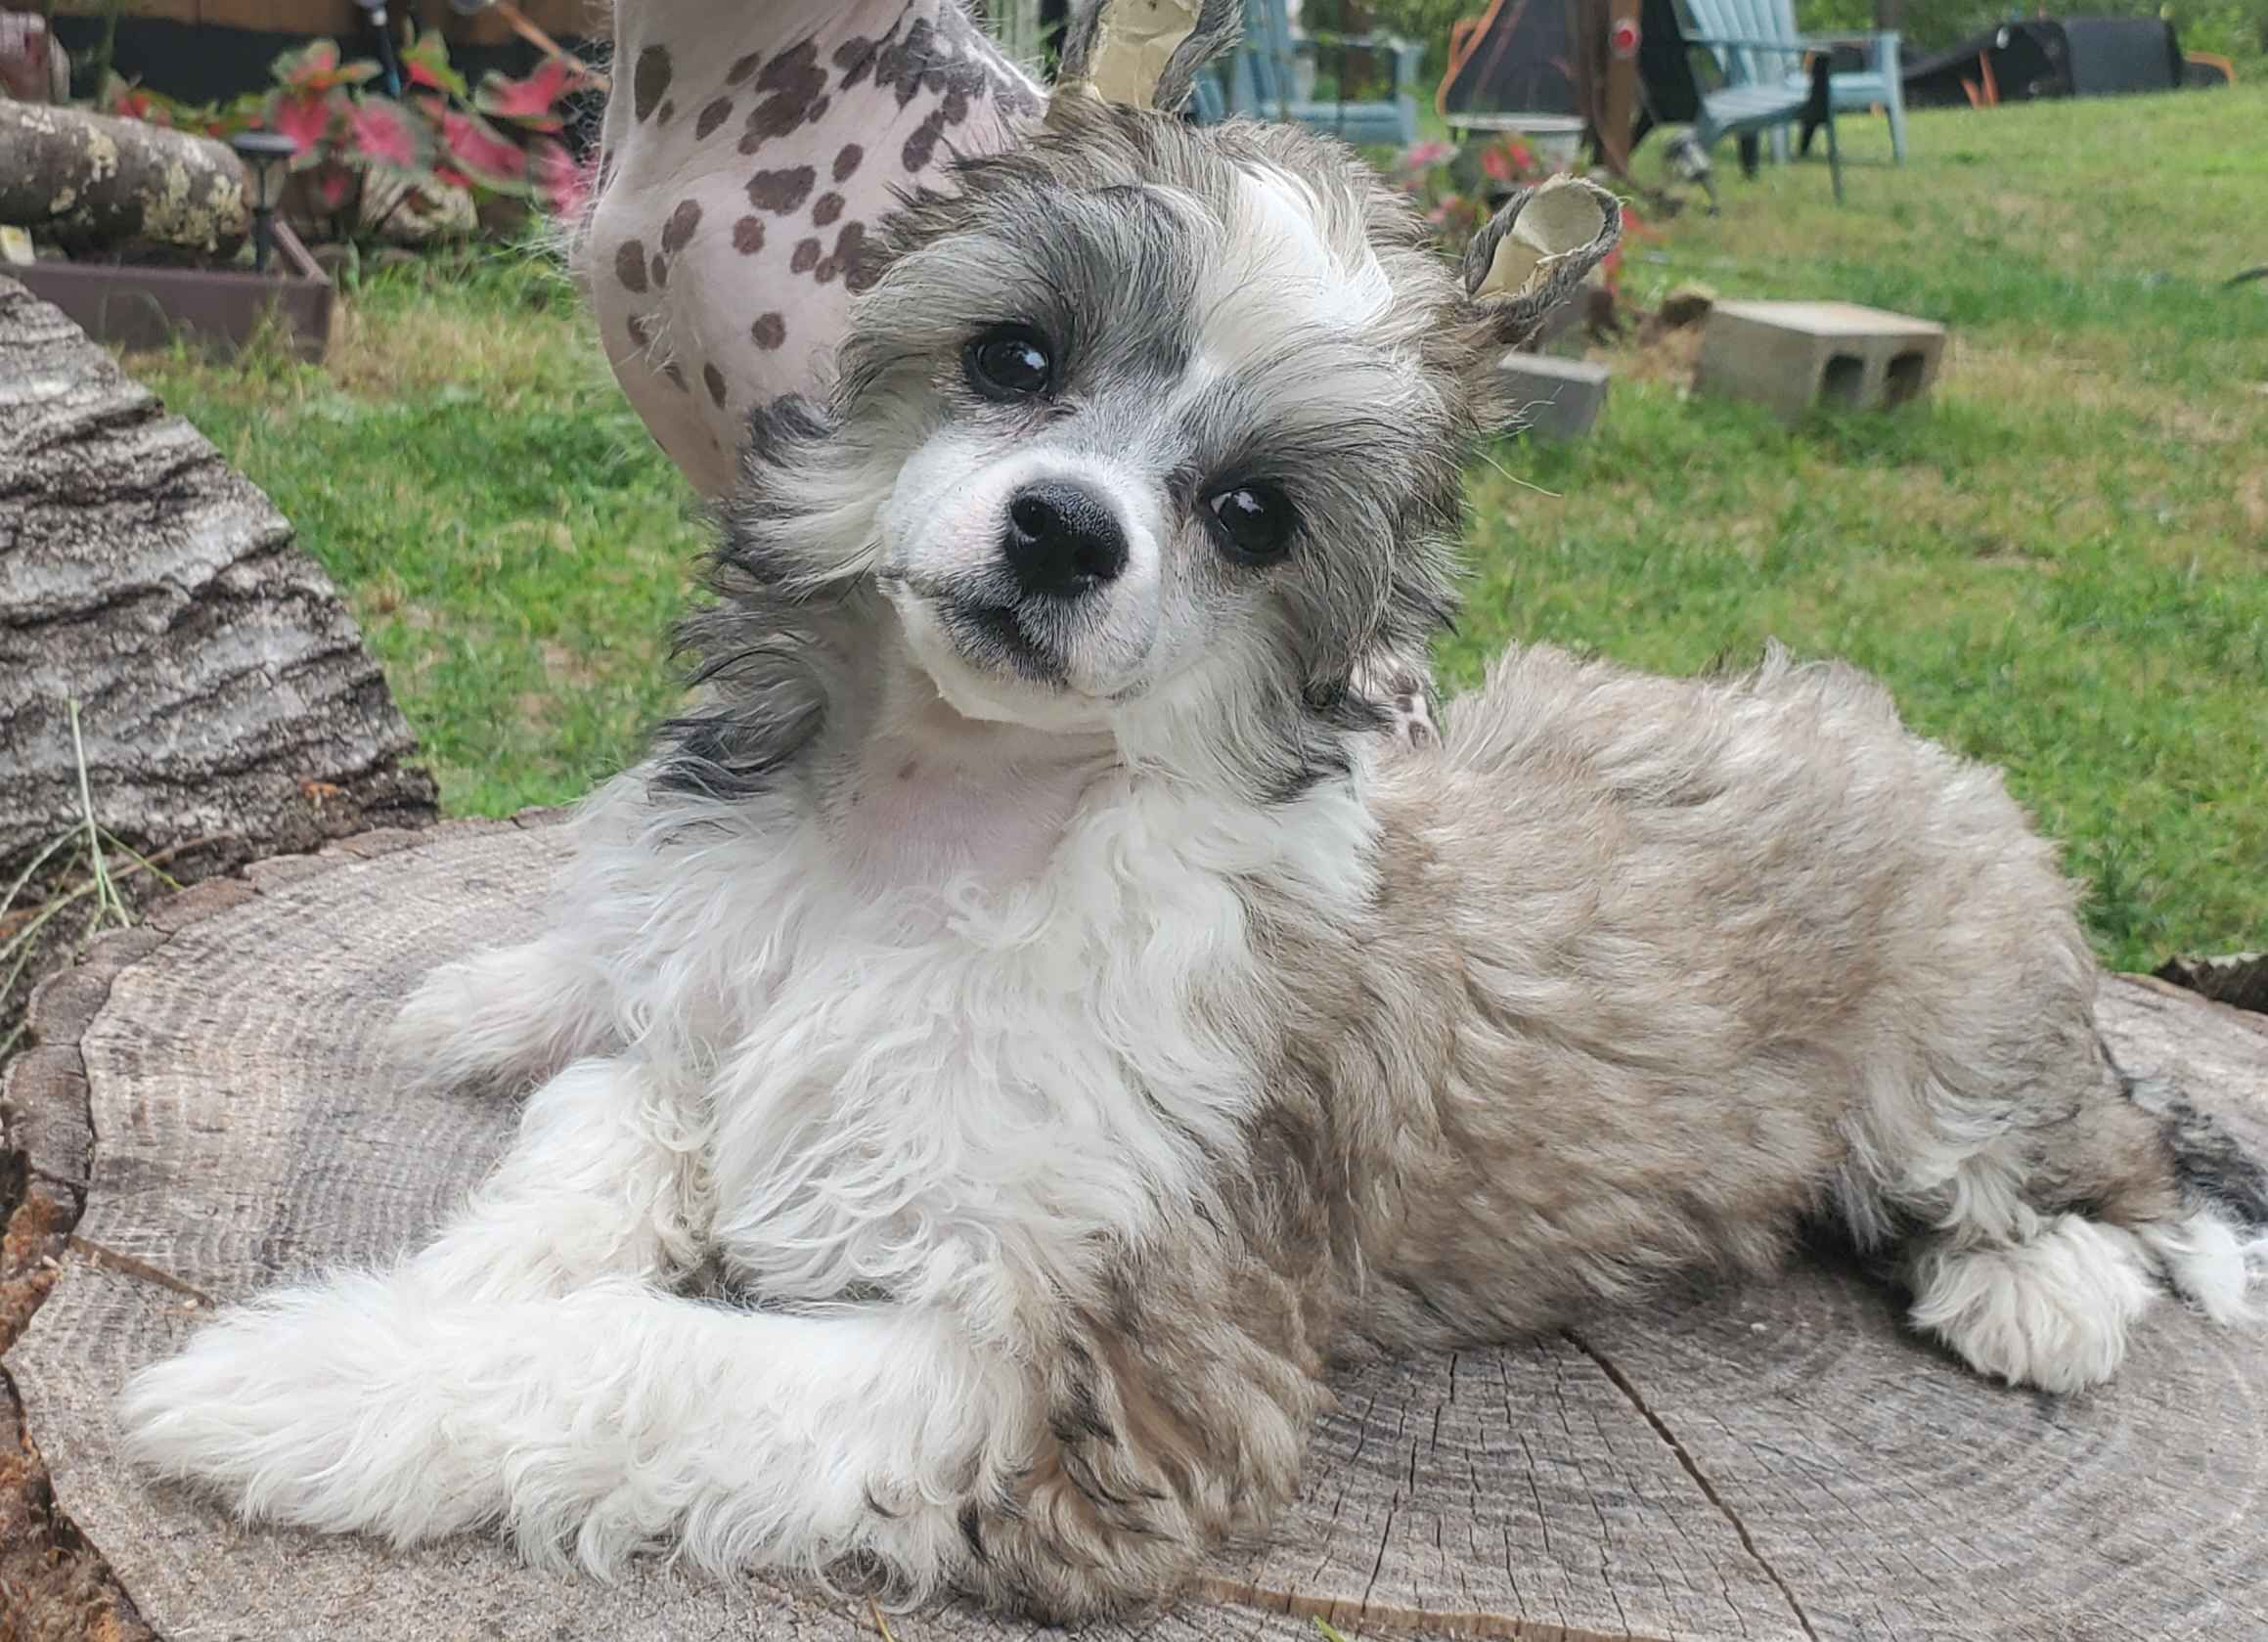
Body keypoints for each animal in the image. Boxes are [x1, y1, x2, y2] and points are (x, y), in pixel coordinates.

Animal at [120, 3, 2266, 1623]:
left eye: (1247, 514)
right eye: (1015, 358)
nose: (1066, 529)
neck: (947, 833)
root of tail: (1904, 746)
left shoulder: (1107, 1379)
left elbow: (644, 1350)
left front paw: (296, 1380)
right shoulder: (704, 1023)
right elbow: (581, 1158)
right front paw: (405, 1301)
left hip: (1949, 1053)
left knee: (2099, 1163)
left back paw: (2037, 1283)